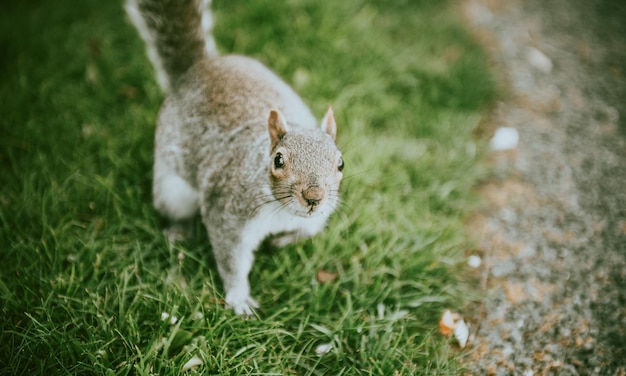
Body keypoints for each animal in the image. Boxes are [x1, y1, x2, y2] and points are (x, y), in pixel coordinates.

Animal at [125, 0, 344, 314]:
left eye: (340, 163)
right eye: (278, 160)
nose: (314, 197)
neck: (281, 211)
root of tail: (198, 68)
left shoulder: (317, 217)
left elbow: (309, 232)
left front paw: (281, 242)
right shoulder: (228, 215)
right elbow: (232, 261)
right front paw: (239, 297)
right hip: (171, 189)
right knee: (176, 210)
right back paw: (179, 231)